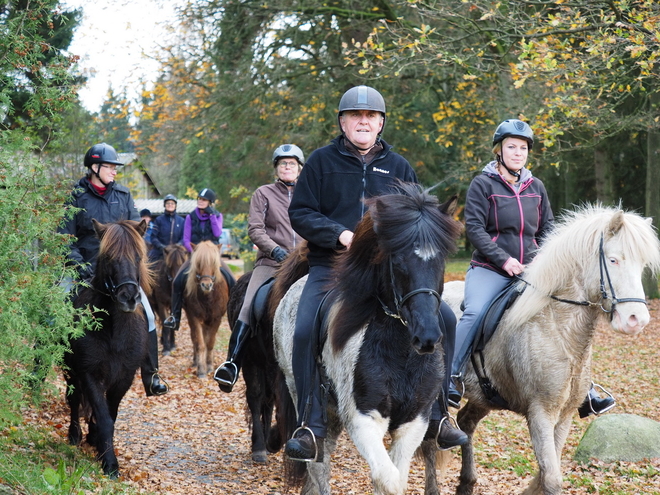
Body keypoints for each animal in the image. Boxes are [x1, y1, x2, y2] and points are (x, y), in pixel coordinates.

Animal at [63, 219, 153, 478]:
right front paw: (110, 463)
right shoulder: (89, 373)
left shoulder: (124, 377)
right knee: (74, 399)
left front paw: (98, 444)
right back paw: (74, 435)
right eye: (109, 257)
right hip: (71, 372)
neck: (114, 331)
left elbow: (109, 414)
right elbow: (103, 417)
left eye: (138, 257)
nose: (129, 297)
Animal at [183, 240, 229, 376]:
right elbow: (200, 343)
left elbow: (210, 342)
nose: (206, 285)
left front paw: (209, 366)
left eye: (214, 263)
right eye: (198, 263)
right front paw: (201, 370)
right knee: (194, 338)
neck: (208, 297)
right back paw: (195, 362)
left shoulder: (216, 318)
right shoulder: (194, 317)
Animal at [270, 184, 462, 494]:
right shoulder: (364, 421)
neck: (400, 353)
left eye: (440, 261)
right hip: (304, 395)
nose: (427, 337)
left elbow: (396, 478)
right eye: (397, 260)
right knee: (318, 463)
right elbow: (387, 479)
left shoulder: (415, 422)